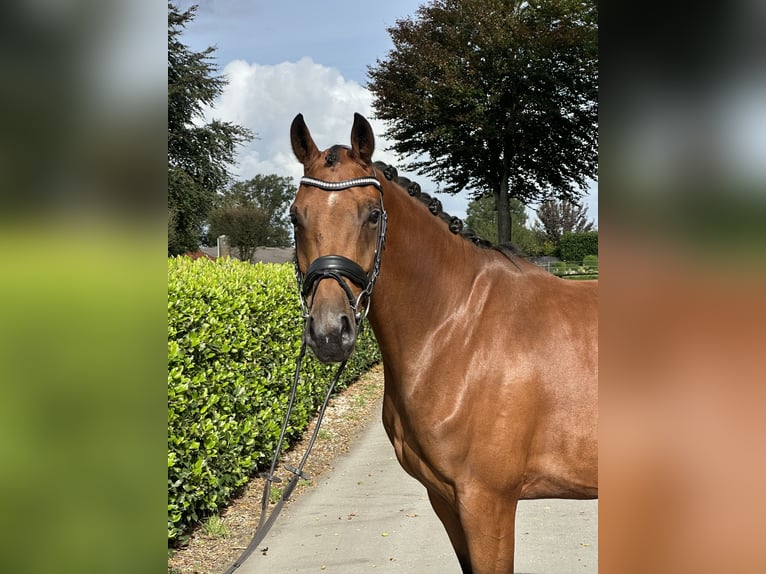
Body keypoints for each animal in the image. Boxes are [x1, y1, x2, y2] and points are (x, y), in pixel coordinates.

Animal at [289, 113, 598, 574]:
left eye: (373, 215)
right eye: (295, 217)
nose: (329, 333)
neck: (460, 328)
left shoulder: (487, 503)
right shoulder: (444, 499)